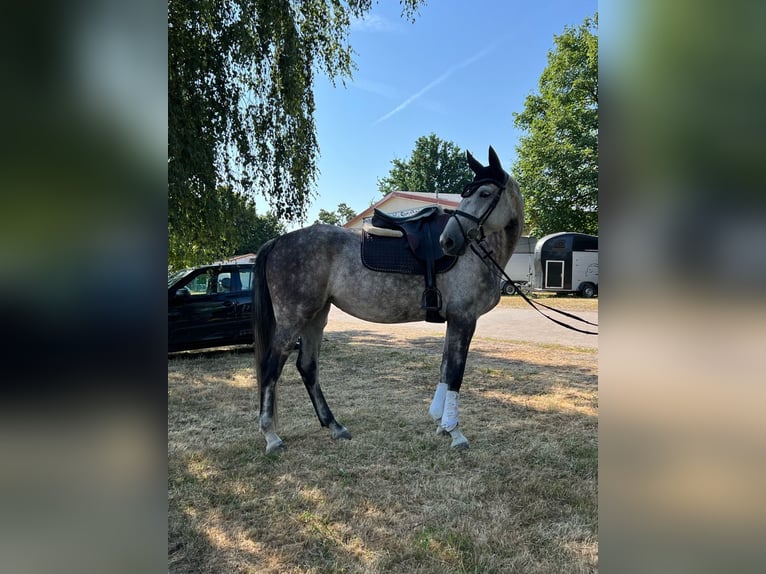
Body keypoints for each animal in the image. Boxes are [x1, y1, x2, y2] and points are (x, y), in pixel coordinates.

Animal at [252, 146, 523, 453]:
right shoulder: (463, 319)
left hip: (315, 318)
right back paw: (271, 436)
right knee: (271, 367)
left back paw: (334, 426)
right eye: (467, 194)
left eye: (485, 193)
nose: (448, 242)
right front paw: (455, 433)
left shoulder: (454, 322)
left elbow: (445, 370)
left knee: (307, 367)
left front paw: (441, 425)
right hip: (293, 319)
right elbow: (455, 373)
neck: (479, 253)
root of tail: (278, 241)